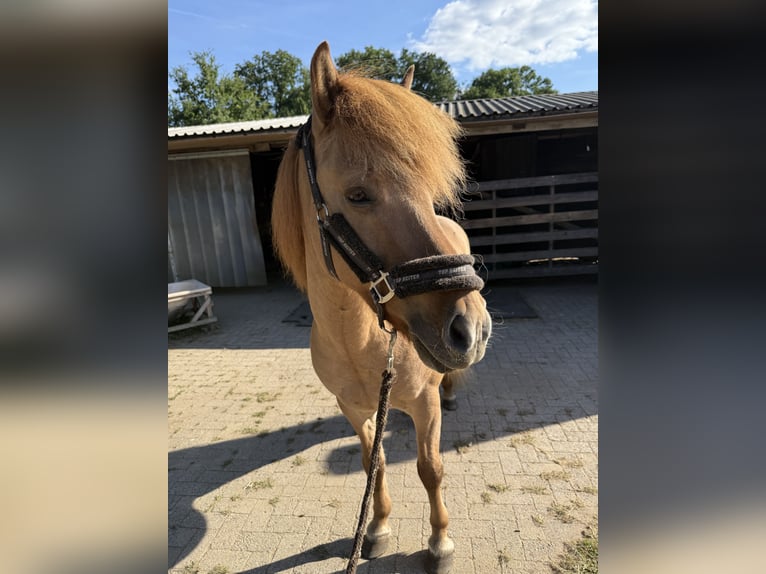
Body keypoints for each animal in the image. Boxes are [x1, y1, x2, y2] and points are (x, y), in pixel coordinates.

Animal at [271, 41, 492, 574]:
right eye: (358, 194)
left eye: (427, 189)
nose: (470, 330)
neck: (359, 342)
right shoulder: (352, 408)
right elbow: (375, 463)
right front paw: (377, 528)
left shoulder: (423, 405)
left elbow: (430, 469)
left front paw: (439, 542)